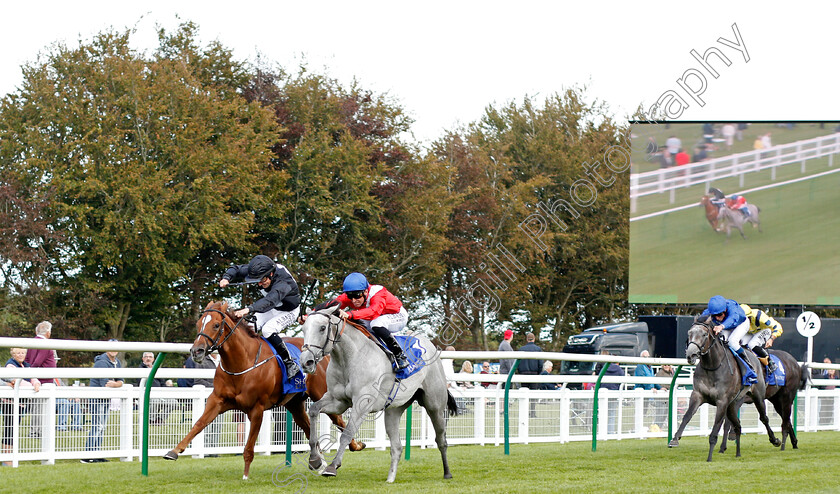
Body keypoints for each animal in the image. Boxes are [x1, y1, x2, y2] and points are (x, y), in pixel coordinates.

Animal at [162, 302, 362, 478]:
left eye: (216, 325)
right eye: (199, 323)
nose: (196, 351)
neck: (242, 362)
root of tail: (322, 355)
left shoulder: (256, 409)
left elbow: (249, 446)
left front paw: (245, 475)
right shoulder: (217, 400)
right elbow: (198, 424)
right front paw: (174, 451)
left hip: (323, 394)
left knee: (339, 420)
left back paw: (355, 446)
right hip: (295, 404)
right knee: (307, 426)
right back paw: (319, 462)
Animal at [298, 306, 456, 484]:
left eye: (322, 328)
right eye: (304, 329)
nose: (306, 362)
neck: (350, 358)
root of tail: (430, 345)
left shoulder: (362, 404)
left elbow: (347, 433)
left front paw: (332, 466)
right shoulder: (337, 401)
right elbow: (313, 411)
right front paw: (315, 460)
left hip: (435, 406)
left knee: (441, 439)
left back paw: (447, 473)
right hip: (393, 410)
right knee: (397, 447)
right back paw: (390, 478)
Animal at [668, 318, 780, 462]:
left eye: (704, 334)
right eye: (689, 333)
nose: (691, 354)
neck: (712, 366)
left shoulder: (722, 401)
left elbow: (716, 426)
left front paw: (710, 456)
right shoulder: (697, 395)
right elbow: (687, 416)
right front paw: (675, 439)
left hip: (758, 396)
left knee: (764, 418)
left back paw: (775, 440)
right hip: (733, 404)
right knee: (736, 424)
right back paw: (737, 451)